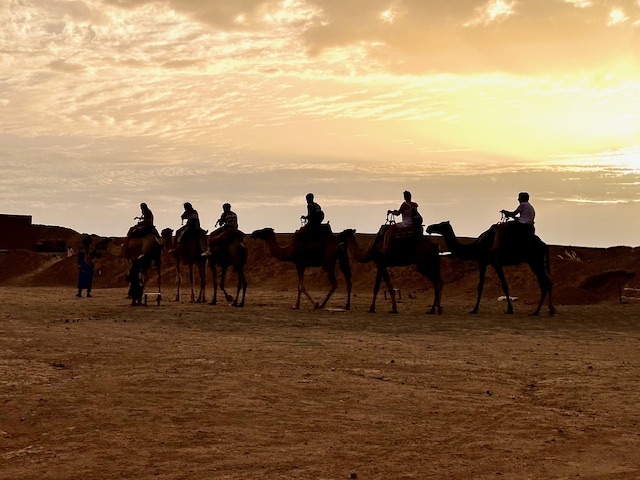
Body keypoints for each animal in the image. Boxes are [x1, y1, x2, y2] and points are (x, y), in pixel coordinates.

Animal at [424, 220, 556, 316]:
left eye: (441, 225)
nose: (429, 227)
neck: (477, 246)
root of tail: (543, 244)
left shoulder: (495, 262)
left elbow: (504, 285)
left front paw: (510, 309)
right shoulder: (483, 262)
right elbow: (480, 286)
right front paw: (474, 309)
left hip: (535, 260)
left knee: (545, 282)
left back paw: (537, 312)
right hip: (534, 262)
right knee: (546, 282)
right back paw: (549, 310)